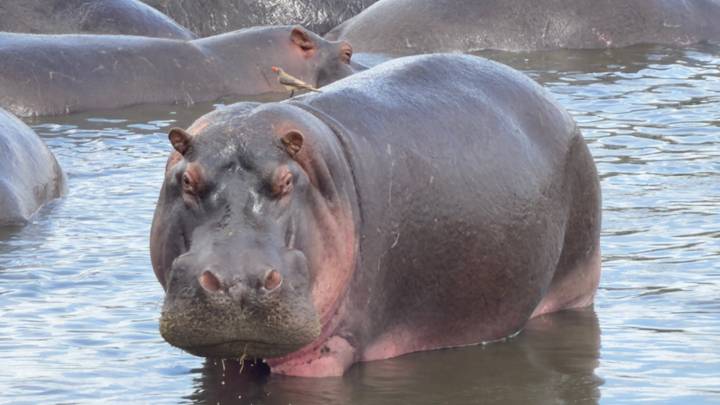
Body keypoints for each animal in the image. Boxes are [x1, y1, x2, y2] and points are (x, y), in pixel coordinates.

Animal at [150, 54, 602, 377]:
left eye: (286, 181)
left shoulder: (324, 355)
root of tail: (556, 104)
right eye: (186, 180)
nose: (237, 282)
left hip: (576, 282)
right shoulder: (221, 357)